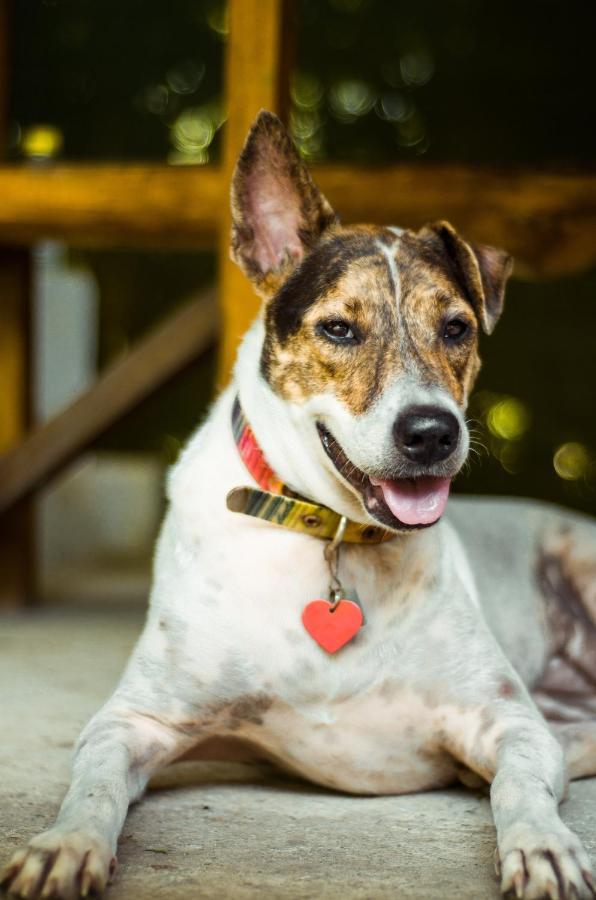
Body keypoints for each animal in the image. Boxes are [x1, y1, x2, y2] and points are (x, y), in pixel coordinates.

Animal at [2, 112, 592, 900]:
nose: (433, 432)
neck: (332, 536)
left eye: (458, 328)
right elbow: (93, 785)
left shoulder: (509, 719)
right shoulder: (133, 719)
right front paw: (63, 844)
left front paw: (544, 845)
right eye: (339, 328)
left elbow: (521, 786)